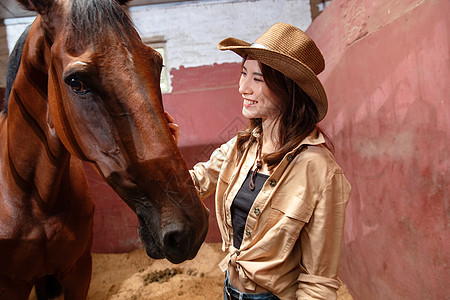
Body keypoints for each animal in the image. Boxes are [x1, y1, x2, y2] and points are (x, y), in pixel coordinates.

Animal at [0, 0, 210, 298]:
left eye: (157, 64)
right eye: (76, 82)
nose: (193, 228)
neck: (33, 199)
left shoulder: (78, 271)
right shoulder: (10, 284)